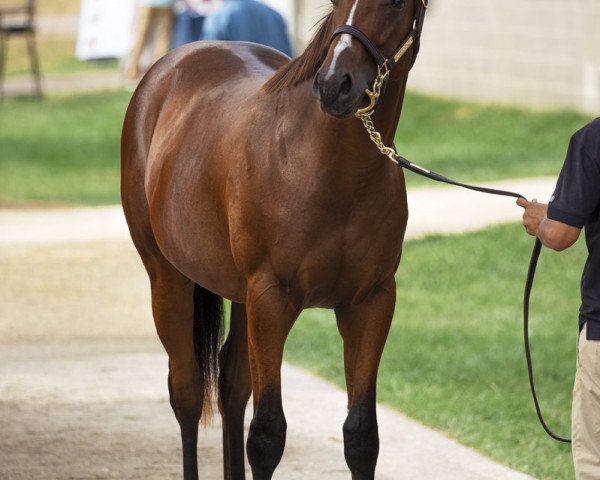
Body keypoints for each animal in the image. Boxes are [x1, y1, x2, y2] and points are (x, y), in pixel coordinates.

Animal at [120, 0, 426, 480]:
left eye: (395, 4)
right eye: (337, 4)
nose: (335, 84)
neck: (333, 170)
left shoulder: (371, 303)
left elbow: (361, 437)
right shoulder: (271, 298)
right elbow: (266, 437)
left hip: (240, 297)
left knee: (230, 388)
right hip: (169, 279)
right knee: (187, 392)